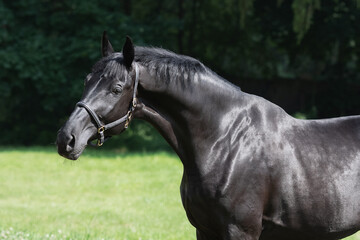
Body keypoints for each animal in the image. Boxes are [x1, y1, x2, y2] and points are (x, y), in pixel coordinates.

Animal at [56, 32, 360, 240]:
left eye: (117, 88)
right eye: (86, 81)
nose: (66, 139)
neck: (225, 141)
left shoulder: (241, 231)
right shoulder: (204, 229)